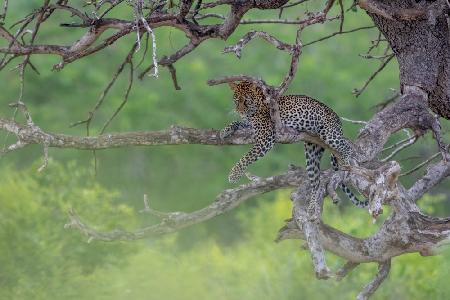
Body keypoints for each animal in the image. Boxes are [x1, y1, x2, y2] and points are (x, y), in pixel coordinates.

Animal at [221, 81, 370, 210]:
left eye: (246, 100)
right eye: (236, 100)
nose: (239, 111)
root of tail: (338, 119)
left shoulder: (266, 138)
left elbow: (246, 157)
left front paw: (233, 175)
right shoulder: (250, 125)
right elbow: (236, 123)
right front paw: (225, 131)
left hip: (329, 134)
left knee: (347, 146)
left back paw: (346, 162)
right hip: (312, 152)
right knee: (316, 183)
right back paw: (311, 208)